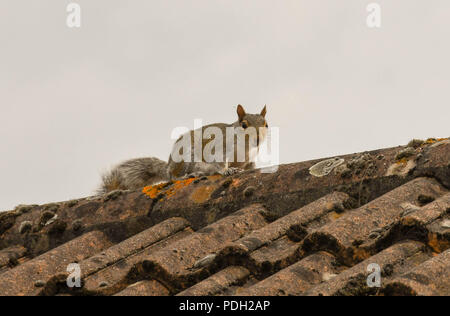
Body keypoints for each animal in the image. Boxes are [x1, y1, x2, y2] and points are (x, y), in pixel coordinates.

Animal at [98, 105, 268, 193]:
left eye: (266, 124)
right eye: (244, 125)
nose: (258, 139)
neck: (245, 147)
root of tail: (168, 166)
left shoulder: (250, 160)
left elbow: (251, 166)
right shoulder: (220, 149)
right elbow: (219, 163)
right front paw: (227, 170)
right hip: (186, 157)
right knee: (174, 177)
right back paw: (189, 175)